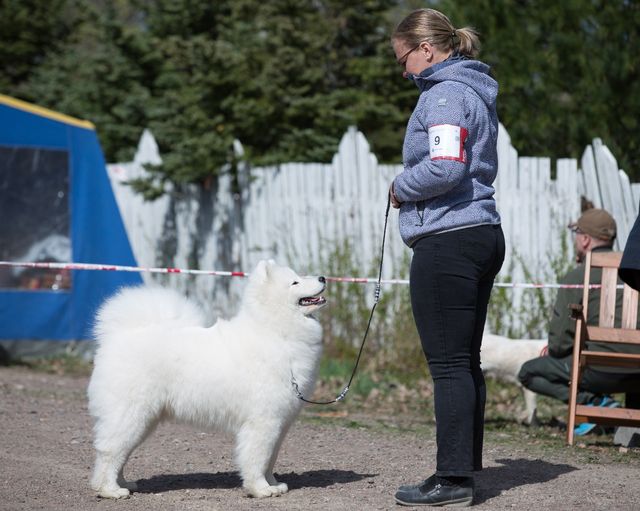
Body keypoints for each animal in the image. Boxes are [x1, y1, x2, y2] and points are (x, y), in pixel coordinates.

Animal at [87, 262, 328, 498]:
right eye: (295, 282)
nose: (323, 277)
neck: (276, 332)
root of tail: (118, 336)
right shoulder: (263, 422)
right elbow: (257, 459)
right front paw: (260, 489)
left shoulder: (280, 423)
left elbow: (270, 459)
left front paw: (274, 485)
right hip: (130, 414)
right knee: (109, 452)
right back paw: (109, 490)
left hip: (144, 420)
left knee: (121, 453)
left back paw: (124, 484)